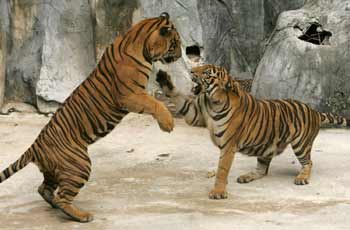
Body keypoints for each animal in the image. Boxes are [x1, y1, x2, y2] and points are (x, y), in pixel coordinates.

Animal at [0, 13, 182, 223]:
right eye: (176, 43)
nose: (180, 55)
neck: (140, 41)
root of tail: (35, 146)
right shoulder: (129, 96)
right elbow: (155, 104)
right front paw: (168, 123)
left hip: (55, 171)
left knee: (44, 189)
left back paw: (57, 205)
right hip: (79, 165)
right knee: (62, 197)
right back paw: (82, 215)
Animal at [157, 64, 350, 199]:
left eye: (206, 72)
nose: (191, 71)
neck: (213, 102)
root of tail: (314, 111)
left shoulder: (228, 145)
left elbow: (222, 169)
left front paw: (218, 192)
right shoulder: (194, 114)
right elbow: (179, 98)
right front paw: (163, 78)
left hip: (301, 144)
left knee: (308, 162)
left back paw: (301, 178)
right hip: (267, 145)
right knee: (263, 169)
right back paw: (247, 176)